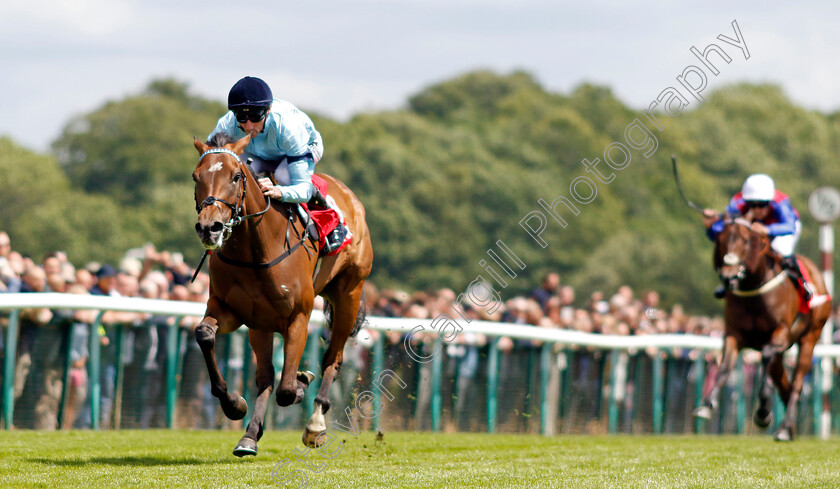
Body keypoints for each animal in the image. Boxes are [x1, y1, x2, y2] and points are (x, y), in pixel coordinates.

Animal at [195, 132, 372, 454]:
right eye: (196, 176)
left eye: (237, 176)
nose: (209, 228)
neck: (254, 249)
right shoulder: (231, 311)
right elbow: (204, 334)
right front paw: (234, 404)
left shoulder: (298, 317)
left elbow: (288, 389)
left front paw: (301, 382)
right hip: (261, 325)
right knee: (265, 377)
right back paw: (249, 436)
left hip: (349, 294)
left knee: (333, 359)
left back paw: (315, 424)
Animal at [692, 215, 832, 440]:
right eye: (720, 240)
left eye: (746, 241)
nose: (729, 276)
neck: (754, 290)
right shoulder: (734, 334)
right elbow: (725, 366)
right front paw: (706, 405)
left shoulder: (781, 332)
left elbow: (766, 356)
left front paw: (764, 412)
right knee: (784, 383)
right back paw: (789, 428)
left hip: (810, 336)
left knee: (796, 383)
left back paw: (783, 428)